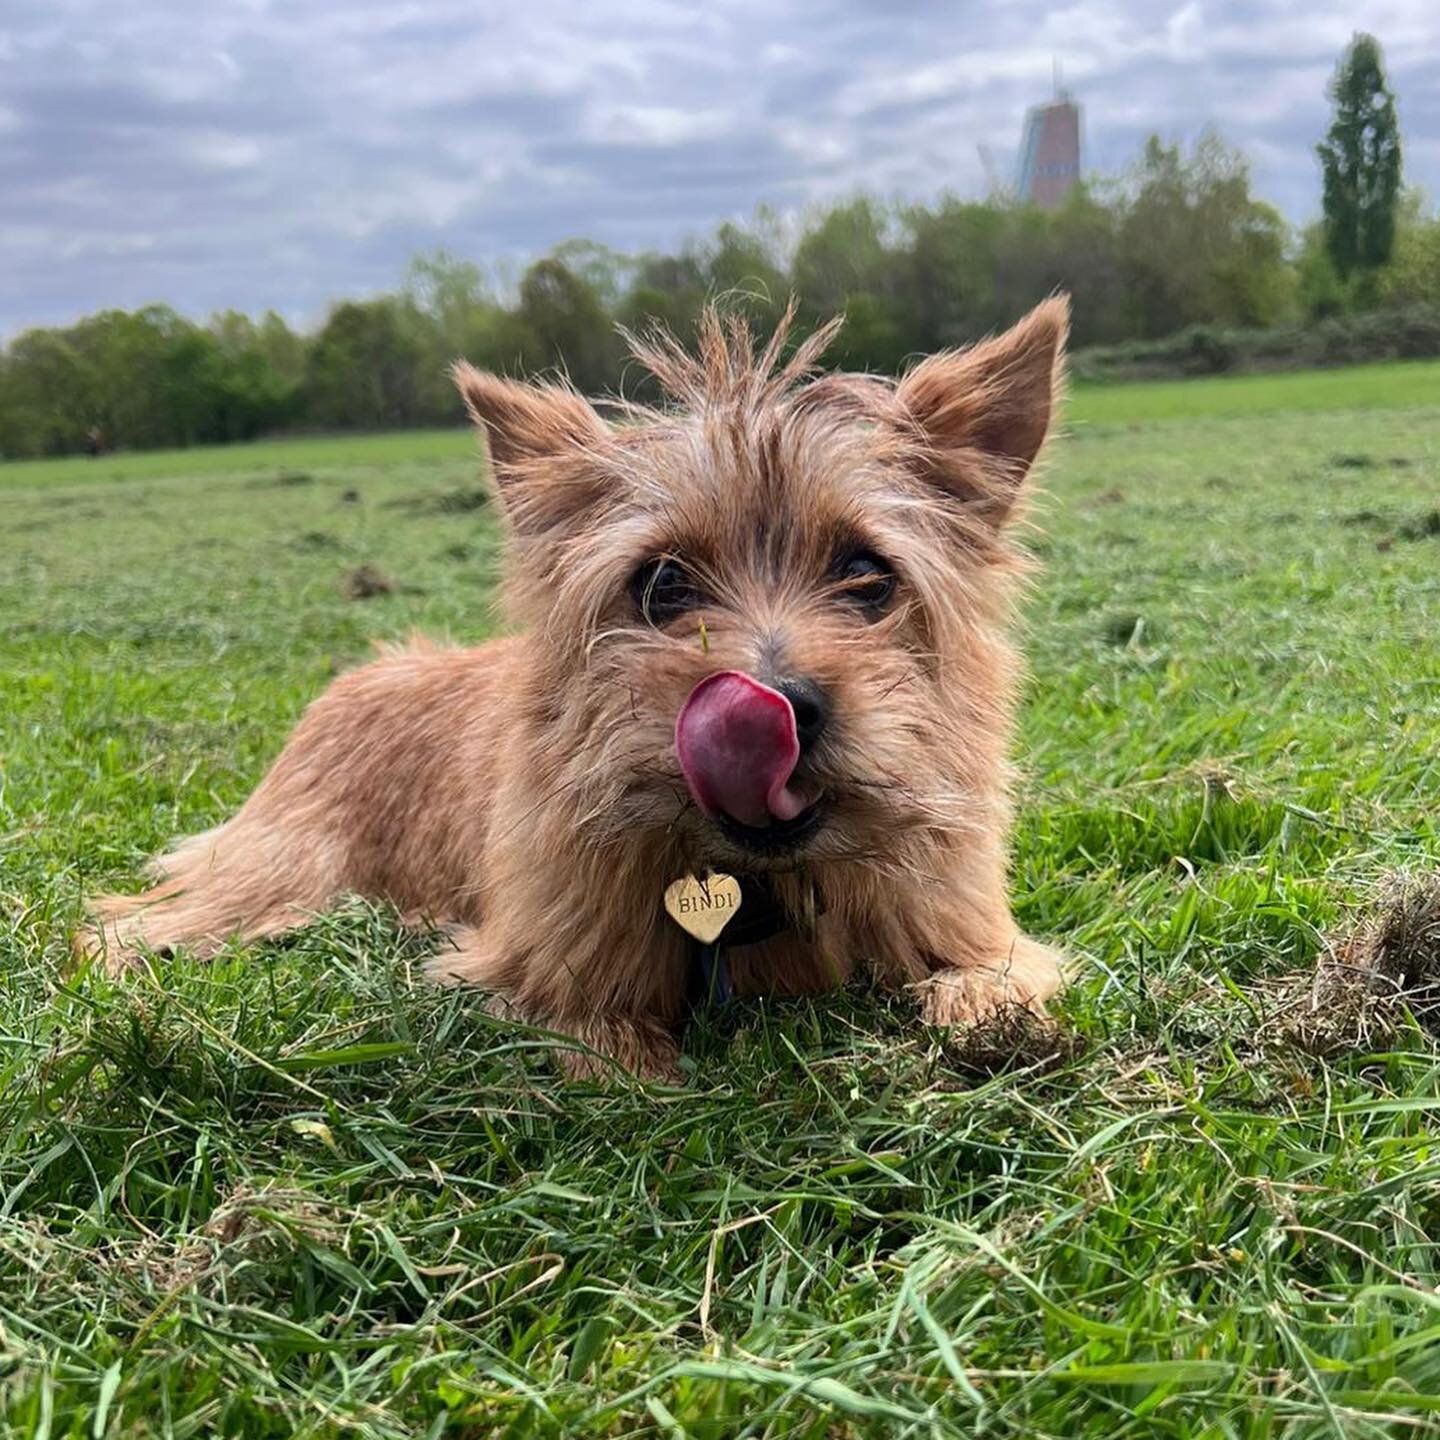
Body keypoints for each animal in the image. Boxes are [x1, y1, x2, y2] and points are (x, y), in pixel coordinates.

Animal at [81, 303, 1071, 1082]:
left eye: (866, 574)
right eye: (663, 582)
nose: (779, 707)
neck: (762, 885)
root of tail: (359, 676)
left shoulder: (972, 926)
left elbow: (997, 978)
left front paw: (994, 1027)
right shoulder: (531, 962)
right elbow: (594, 1037)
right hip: (280, 874)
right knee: (129, 923)